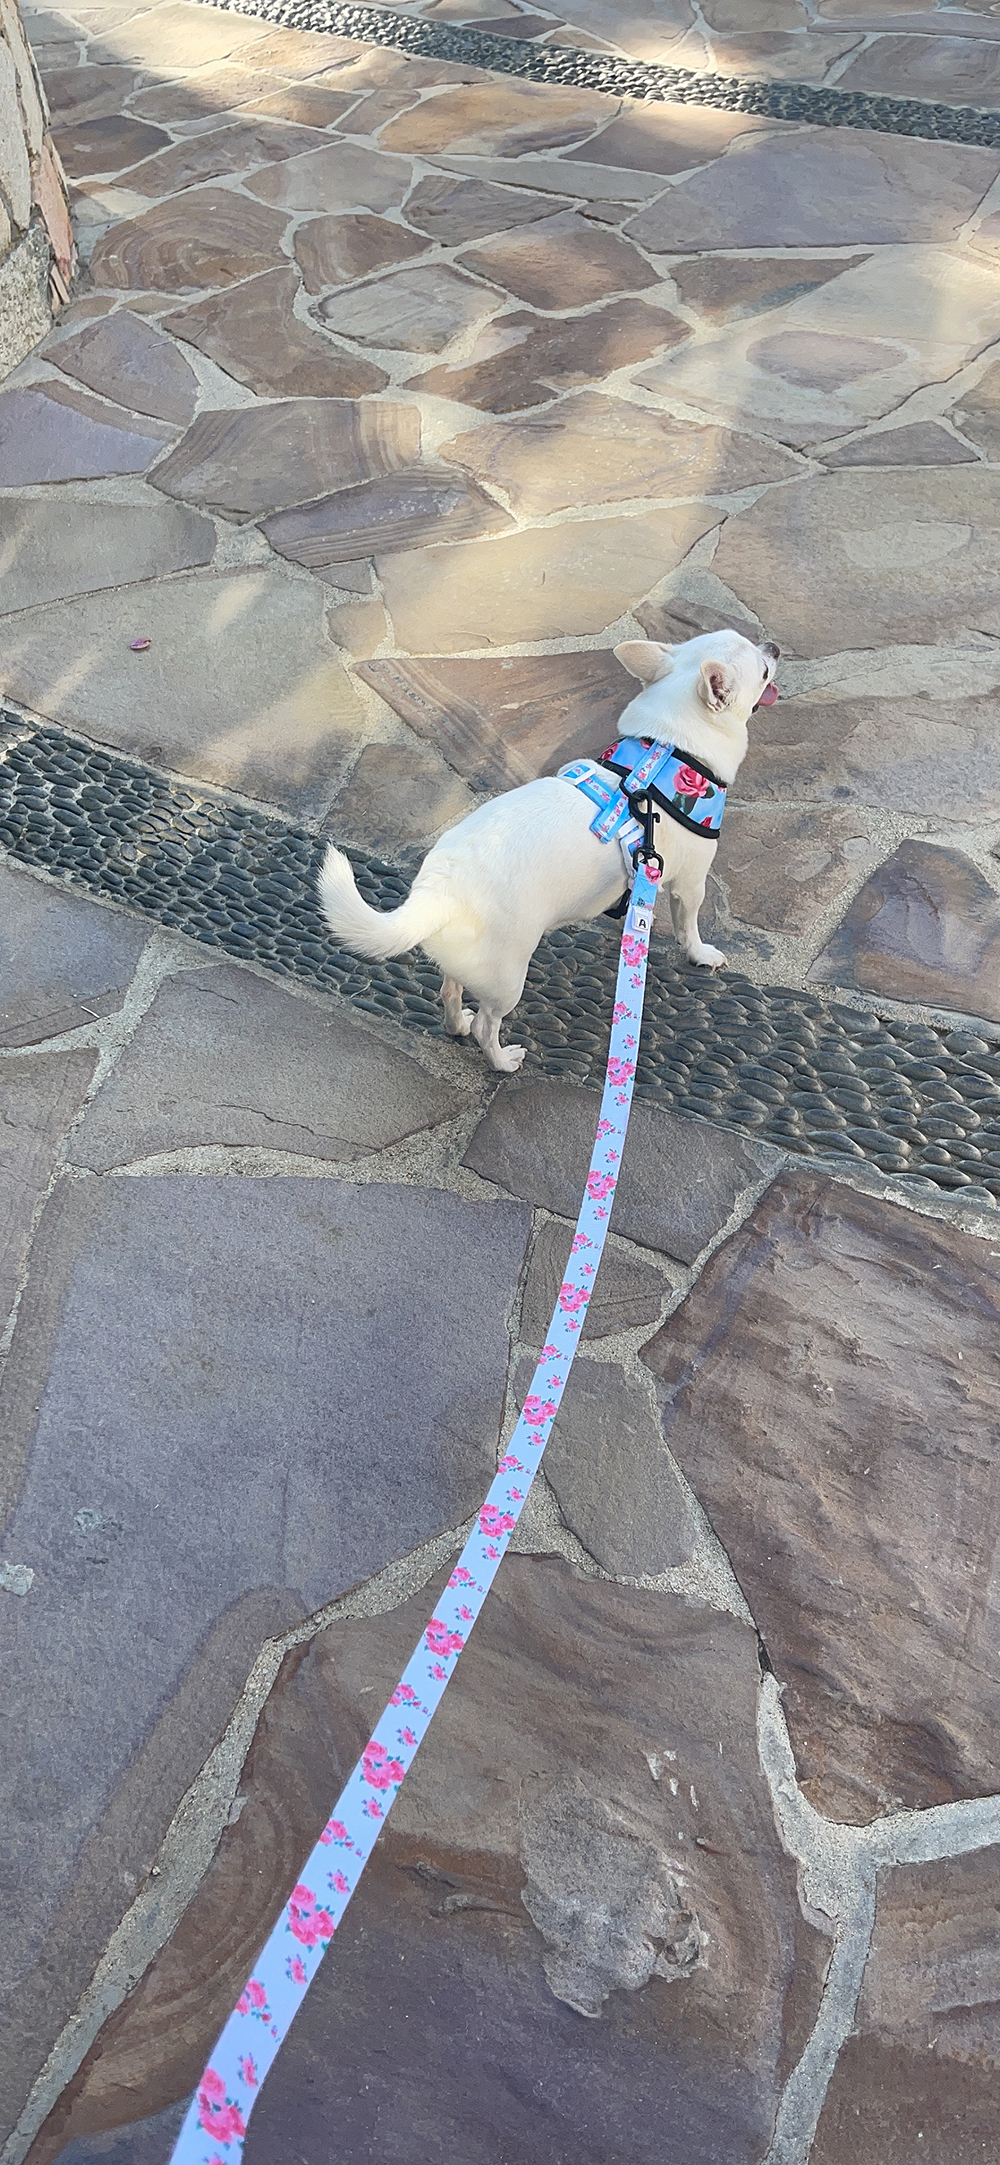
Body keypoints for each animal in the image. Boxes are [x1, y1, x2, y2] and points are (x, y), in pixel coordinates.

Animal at [320, 627, 779, 1073]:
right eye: (763, 671)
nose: (773, 646)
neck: (667, 749)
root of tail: (437, 892)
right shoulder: (690, 881)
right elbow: (689, 925)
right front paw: (701, 954)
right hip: (508, 976)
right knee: (488, 1024)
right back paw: (502, 1060)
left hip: (463, 962)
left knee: (450, 992)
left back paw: (457, 1025)